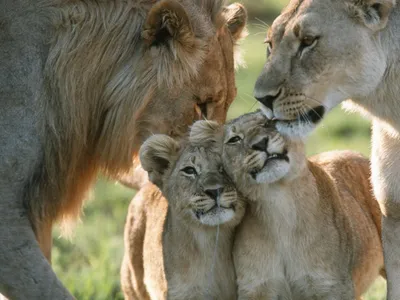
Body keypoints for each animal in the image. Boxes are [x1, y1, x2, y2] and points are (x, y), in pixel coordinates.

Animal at [192, 112, 386, 300]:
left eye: (269, 122)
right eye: (234, 139)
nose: (261, 143)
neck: (279, 203)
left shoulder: (331, 286)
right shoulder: (257, 287)